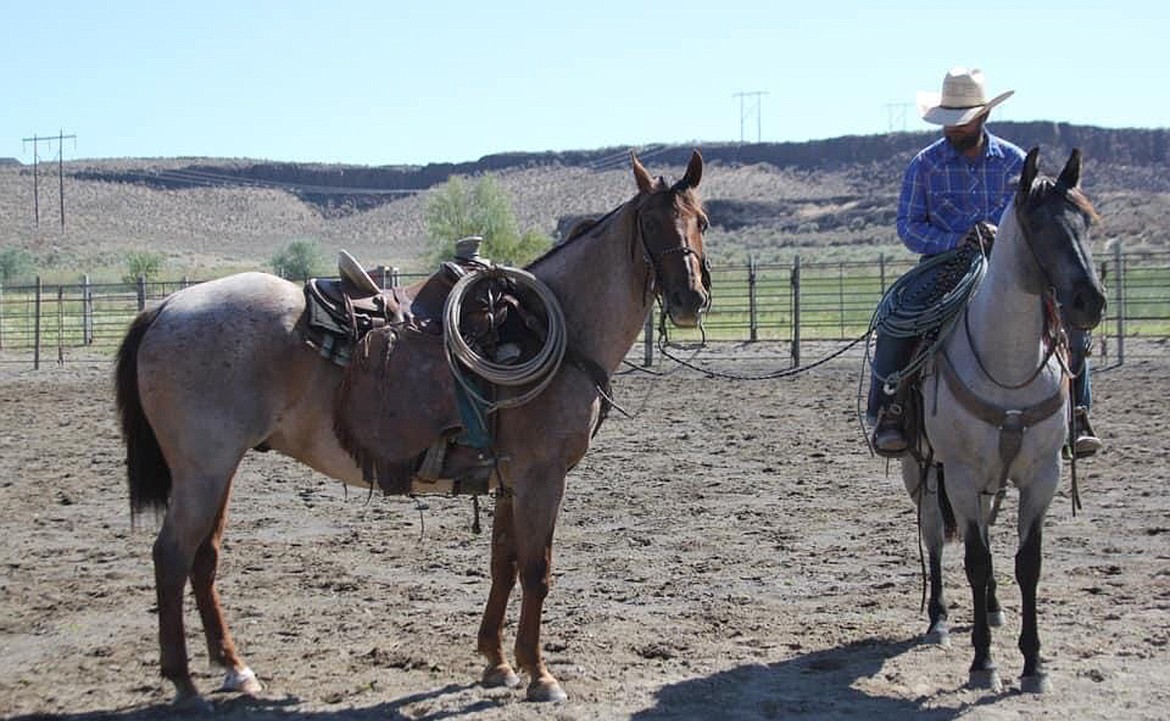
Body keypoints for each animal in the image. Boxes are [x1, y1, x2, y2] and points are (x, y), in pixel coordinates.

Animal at [114, 149, 706, 706]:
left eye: (700, 219)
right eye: (650, 223)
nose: (690, 299)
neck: (552, 323)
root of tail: (169, 305)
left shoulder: (509, 481)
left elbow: (503, 564)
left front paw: (497, 663)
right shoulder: (542, 477)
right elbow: (536, 570)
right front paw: (540, 675)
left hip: (220, 470)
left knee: (204, 557)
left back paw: (234, 668)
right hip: (204, 469)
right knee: (171, 556)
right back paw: (183, 680)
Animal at [903, 146, 1104, 692]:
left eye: (1087, 222)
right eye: (1038, 225)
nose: (1090, 301)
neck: (1008, 362)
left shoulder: (1042, 475)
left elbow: (1026, 563)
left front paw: (1034, 664)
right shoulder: (960, 474)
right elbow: (974, 559)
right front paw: (983, 663)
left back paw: (992, 609)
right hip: (922, 472)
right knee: (934, 534)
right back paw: (939, 619)